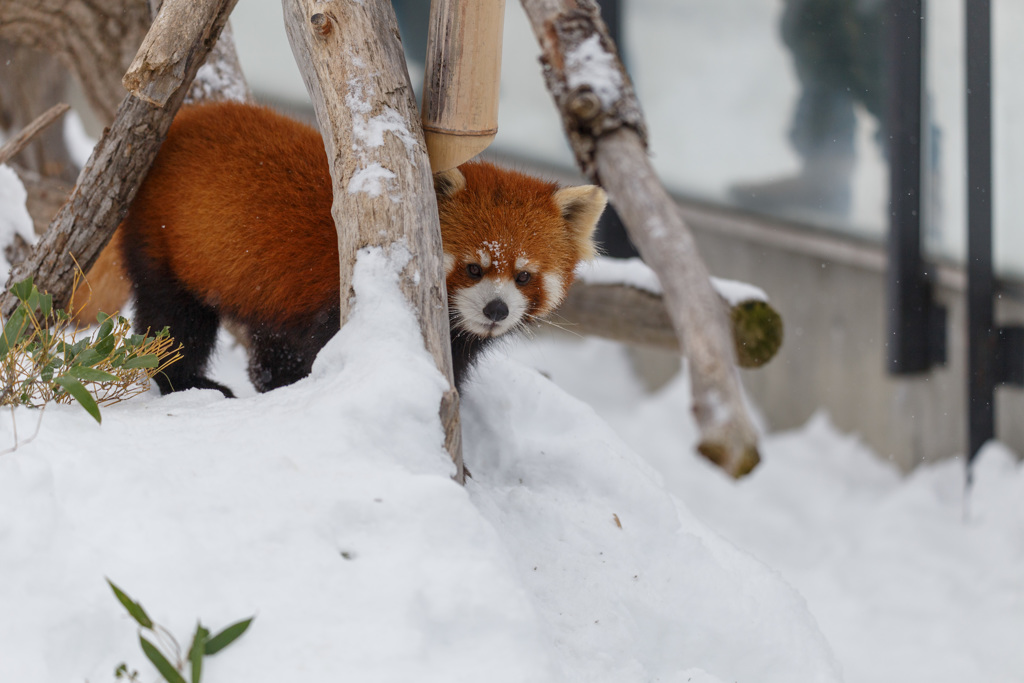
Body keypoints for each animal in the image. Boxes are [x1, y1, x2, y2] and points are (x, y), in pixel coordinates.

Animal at [119, 104, 602, 397]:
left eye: (524, 276)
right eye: (472, 269)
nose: (496, 310)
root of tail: (186, 118)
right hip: (162, 241)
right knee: (174, 321)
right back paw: (189, 382)